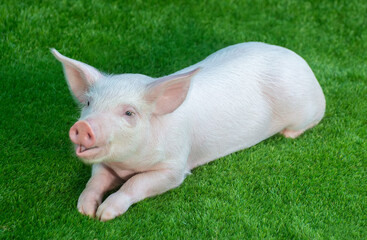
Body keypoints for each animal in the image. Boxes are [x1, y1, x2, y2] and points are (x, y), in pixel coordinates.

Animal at [51, 42, 324, 221]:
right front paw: (85, 211)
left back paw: (288, 134)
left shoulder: (175, 166)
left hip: (306, 110)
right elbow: (95, 180)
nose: (82, 127)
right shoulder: (105, 163)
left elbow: (135, 184)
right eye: (88, 103)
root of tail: (301, 62)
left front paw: (104, 215)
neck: (127, 164)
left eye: (129, 113)